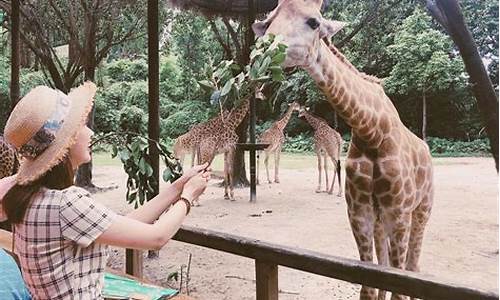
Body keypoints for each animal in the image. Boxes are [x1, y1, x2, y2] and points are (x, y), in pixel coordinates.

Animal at [254, 1, 434, 298]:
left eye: (314, 22)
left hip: (421, 211)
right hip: (381, 219)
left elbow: (400, 285)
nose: (262, 52)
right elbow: (370, 284)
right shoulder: (359, 213)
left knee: (413, 266)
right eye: (268, 21)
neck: (372, 131)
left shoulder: (399, 213)